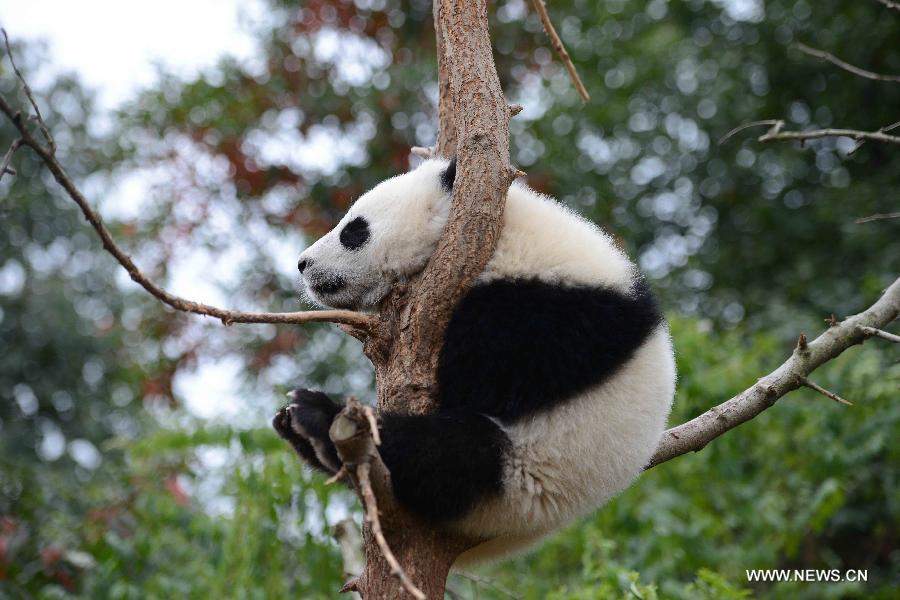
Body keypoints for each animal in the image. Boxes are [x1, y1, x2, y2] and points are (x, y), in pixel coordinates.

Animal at [273, 158, 676, 565]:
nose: (303, 264)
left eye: (354, 231)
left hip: (521, 475)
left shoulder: (554, 307)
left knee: (442, 452)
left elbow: (495, 372)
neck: (503, 237)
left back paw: (317, 416)